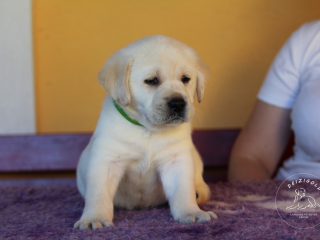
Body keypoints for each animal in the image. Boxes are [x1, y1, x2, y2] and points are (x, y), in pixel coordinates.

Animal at [74, 35, 218, 229]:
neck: (148, 129)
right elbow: (99, 194)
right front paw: (94, 218)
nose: (178, 103)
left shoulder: (176, 160)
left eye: (185, 79)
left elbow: (183, 191)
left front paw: (191, 212)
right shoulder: (108, 160)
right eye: (152, 81)